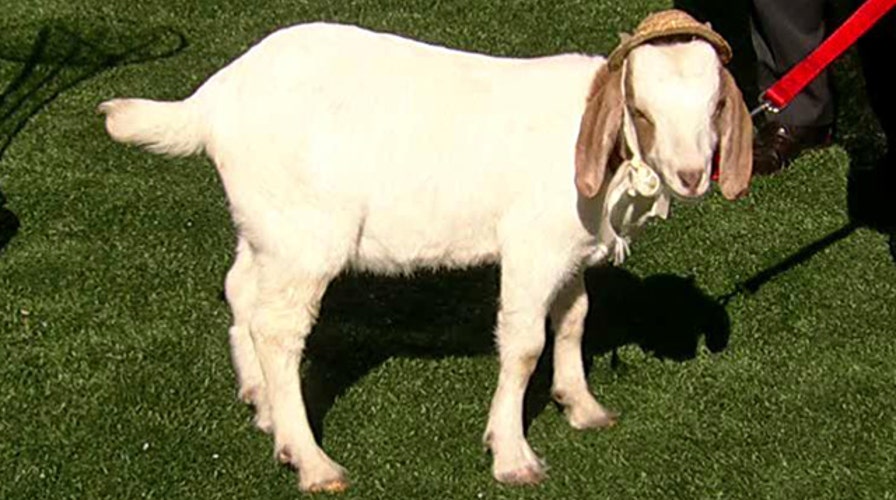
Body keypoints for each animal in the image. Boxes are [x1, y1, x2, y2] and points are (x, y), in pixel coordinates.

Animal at [99, 12, 751, 492]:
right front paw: (511, 454)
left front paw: (582, 405)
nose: (692, 176)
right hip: (306, 233)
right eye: (640, 109)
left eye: (716, 106)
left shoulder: (567, 244)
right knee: (278, 327)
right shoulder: (531, 245)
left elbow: (573, 322)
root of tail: (213, 101)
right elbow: (524, 345)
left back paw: (264, 408)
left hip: (267, 224)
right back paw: (310, 460)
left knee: (242, 291)